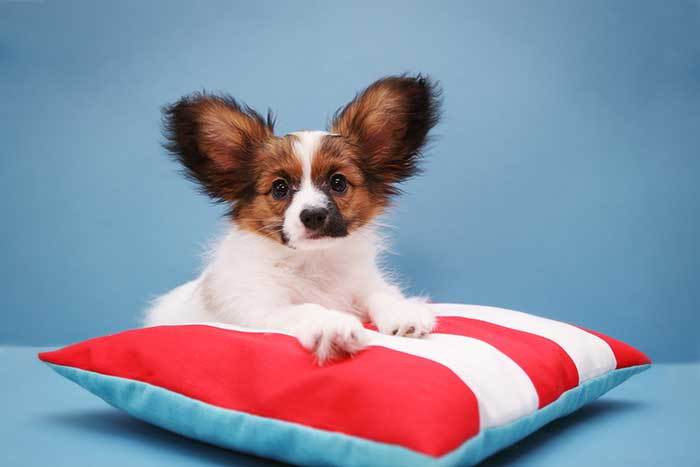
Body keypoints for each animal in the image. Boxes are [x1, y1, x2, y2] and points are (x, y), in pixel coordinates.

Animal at [144, 75, 440, 364]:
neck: (312, 261)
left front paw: (403, 311)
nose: (313, 215)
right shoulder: (261, 306)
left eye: (338, 182)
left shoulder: (365, 282)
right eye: (279, 188)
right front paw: (332, 324)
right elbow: (306, 308)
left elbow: (381, 292)